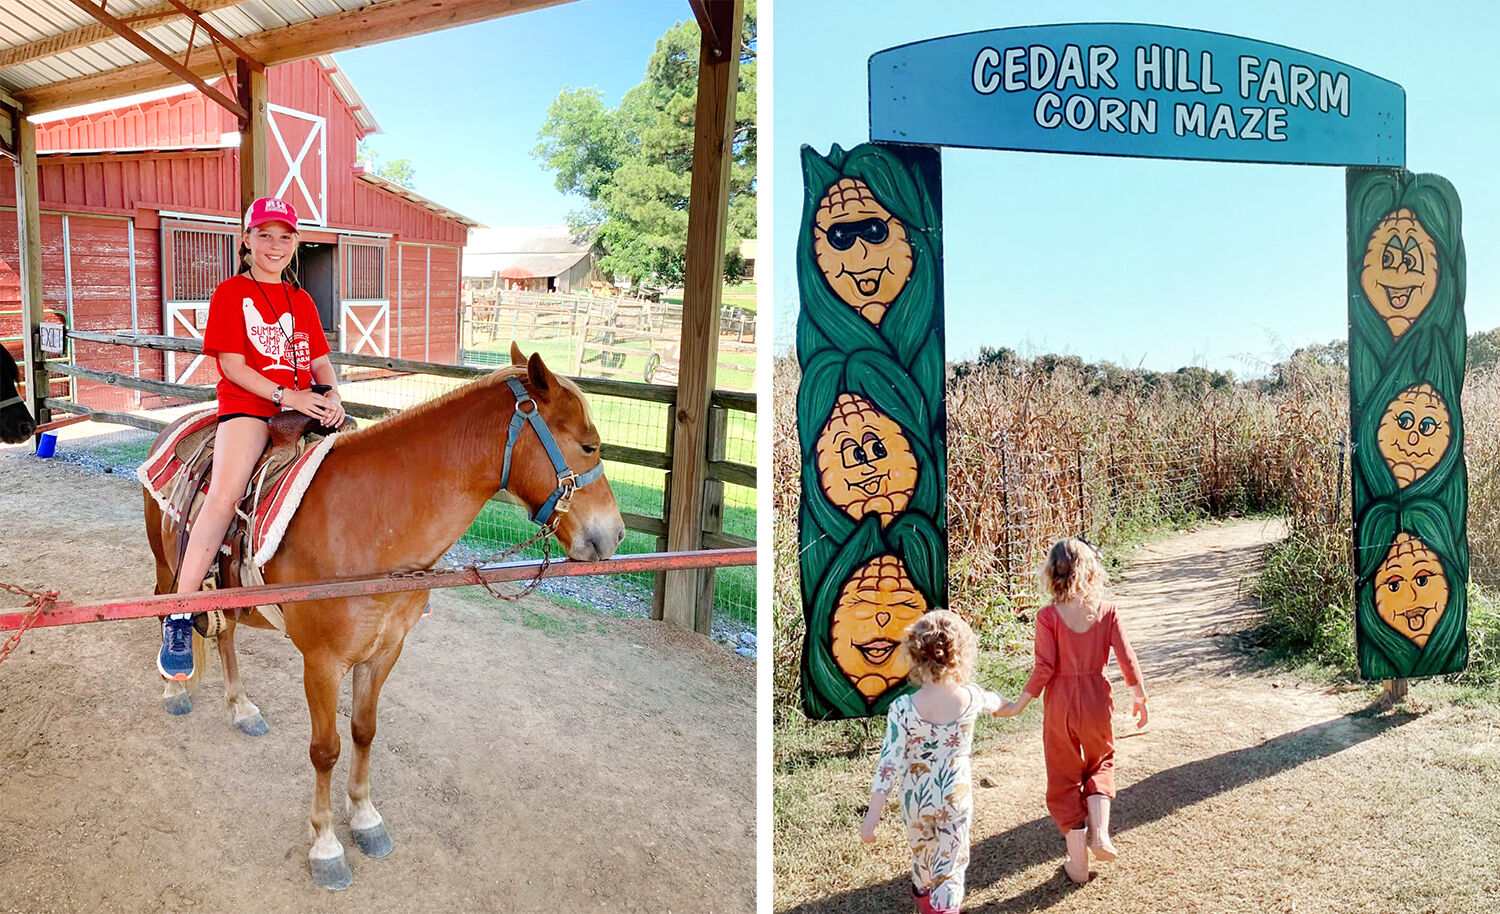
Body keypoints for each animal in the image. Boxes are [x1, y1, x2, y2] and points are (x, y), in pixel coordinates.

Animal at [143, 345, 624, 888]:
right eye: (589, 446)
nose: (615, 534)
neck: (370, 525)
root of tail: (173, 426)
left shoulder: (385, 651)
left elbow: (363, 732)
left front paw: (366, 819)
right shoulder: (322, 663)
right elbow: (325, 749)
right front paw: (326, 845)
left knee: (224, 636)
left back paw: (242, 708)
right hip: (167, 563)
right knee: (166, 607)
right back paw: (174, 685)